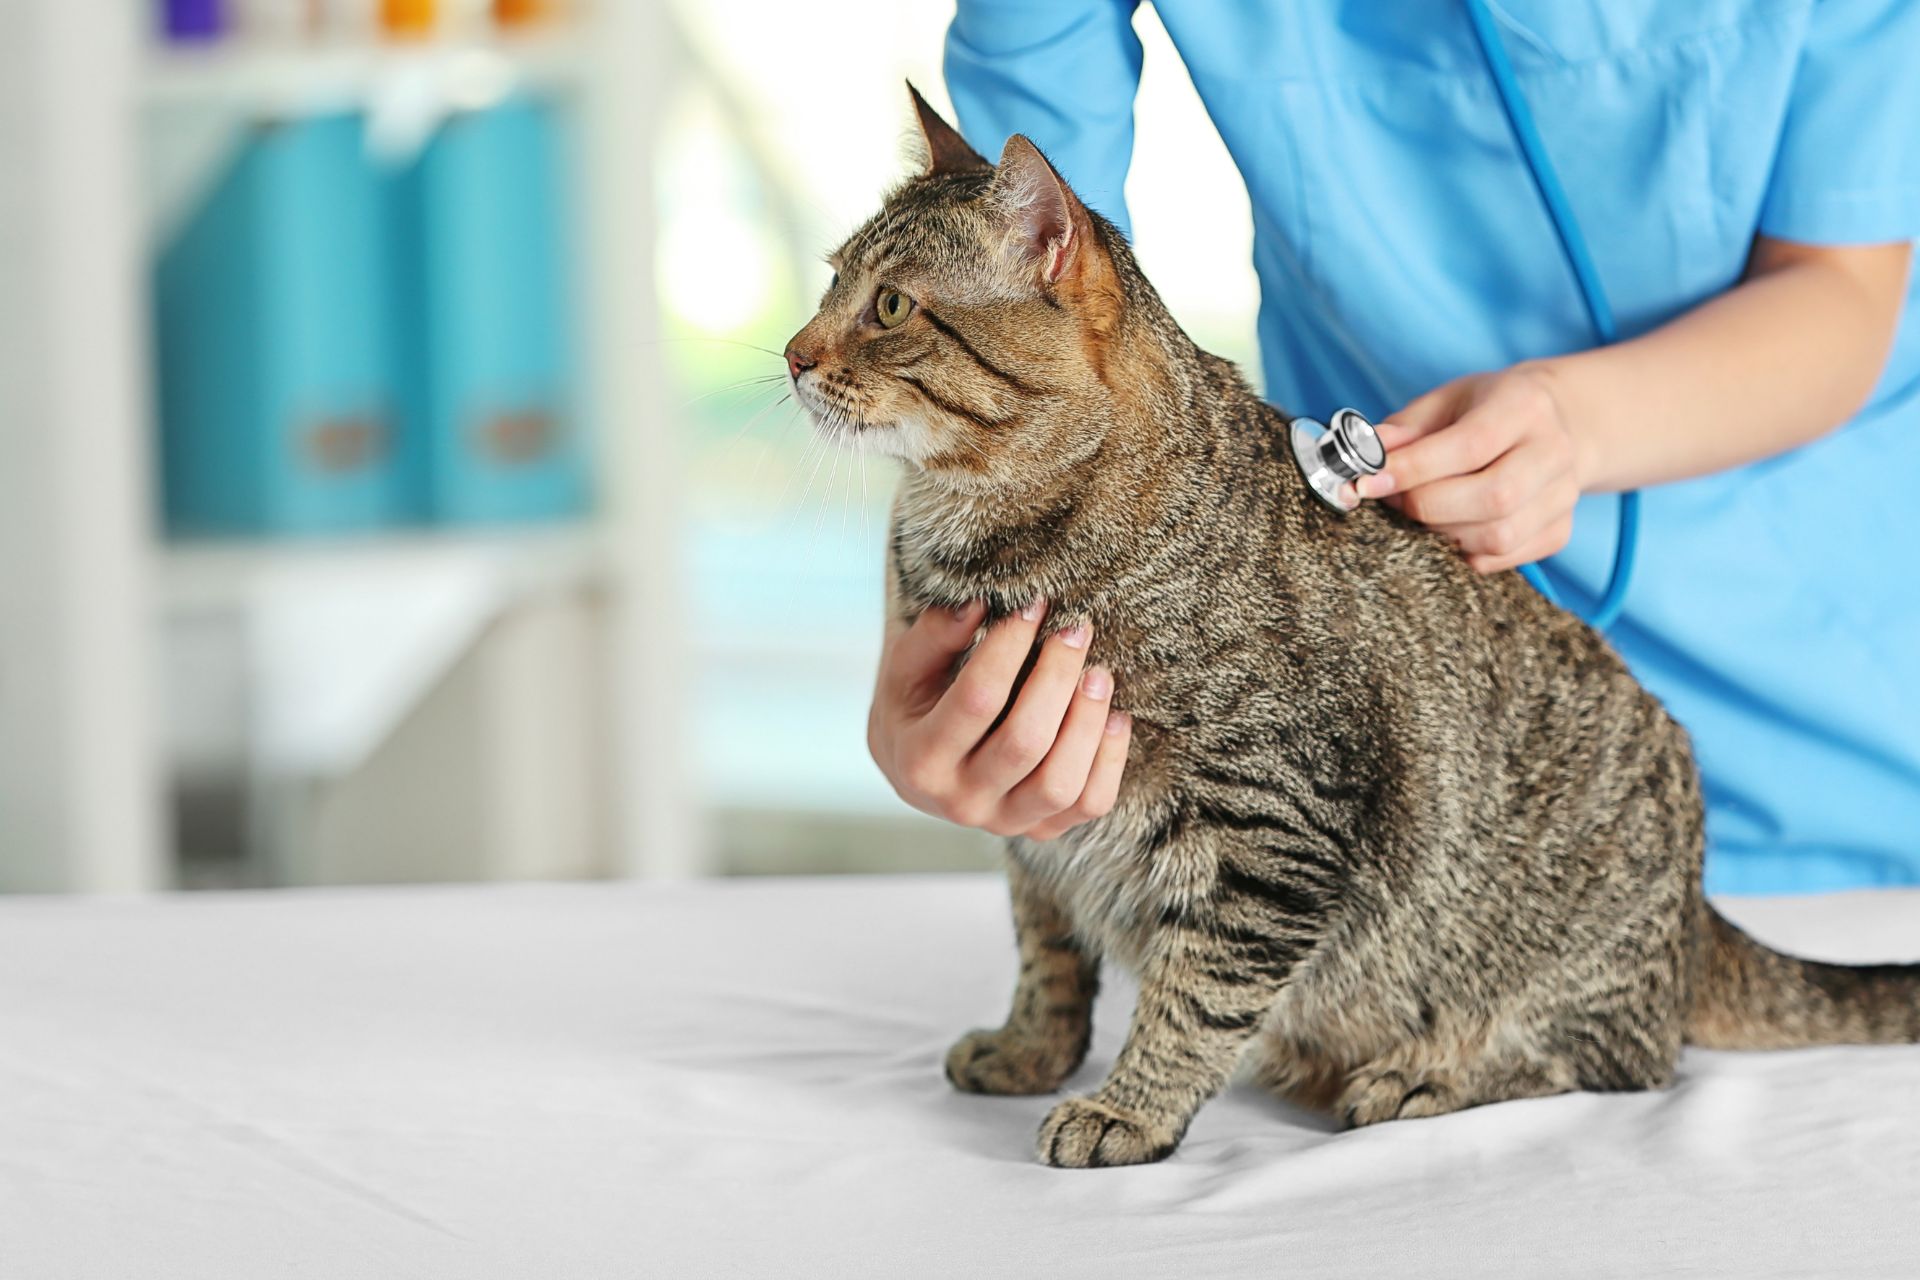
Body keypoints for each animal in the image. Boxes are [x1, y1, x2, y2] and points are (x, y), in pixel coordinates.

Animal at [783, 87, 1920, 1174]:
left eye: (889, 305)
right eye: (830, 280)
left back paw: (1424, 1076)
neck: (972, 534)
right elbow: (1048, 953)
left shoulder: (1273, 824)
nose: (792, 354)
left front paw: (1130, 1106)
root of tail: (1696, 911)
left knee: (1620, 1060)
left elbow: (1197, 995)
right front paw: (1031, 1050)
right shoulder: (1037, 825)